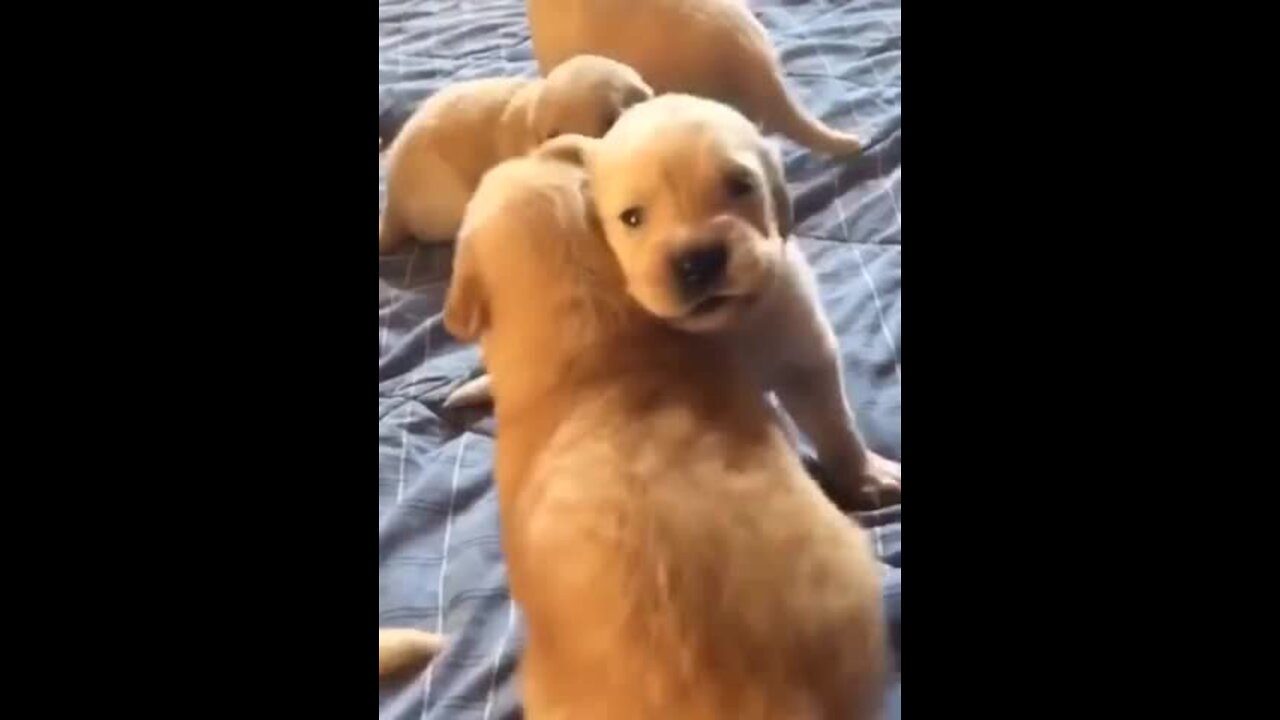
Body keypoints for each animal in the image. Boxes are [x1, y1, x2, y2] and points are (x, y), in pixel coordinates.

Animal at [450, 94, 901, 509]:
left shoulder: (803, 355)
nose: (698, 261)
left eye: (741, 186)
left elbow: (836, 426)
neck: (728, 328)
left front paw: (866, 477)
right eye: (632, 218)